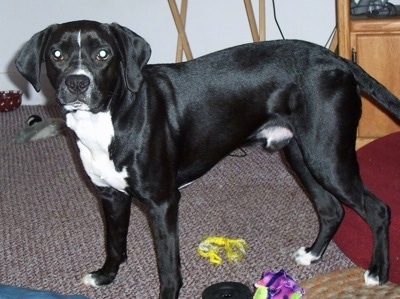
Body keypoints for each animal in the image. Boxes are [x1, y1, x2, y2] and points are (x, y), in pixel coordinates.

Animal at [15, 20, 400, 298]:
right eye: (57, 54)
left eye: (103, 54)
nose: (77, 84)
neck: (110, 116)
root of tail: (338, 59)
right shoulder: (110, 196)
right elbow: (114, 242)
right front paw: (106, 276)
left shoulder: (163, 202)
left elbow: (167, 266)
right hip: (301, 155)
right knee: (331, 208)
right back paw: (313, 255)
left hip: (327, 157)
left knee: (378, 209)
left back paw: (377, 273)